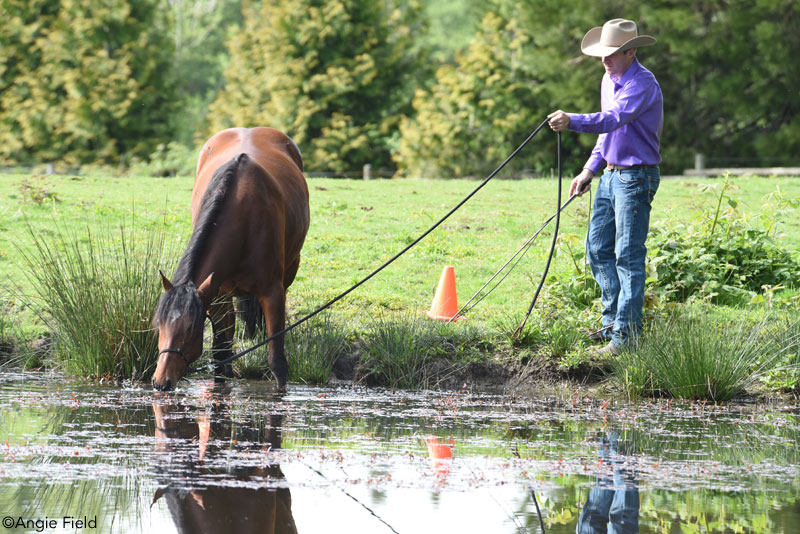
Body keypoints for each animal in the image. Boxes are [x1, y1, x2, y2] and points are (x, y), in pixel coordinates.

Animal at [152, 127, 310, 392]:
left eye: (190, 328)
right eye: (159, 325)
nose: (160, 382)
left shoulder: (274, 293)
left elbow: (276, 361)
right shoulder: (216, 294)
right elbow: (220, 355)